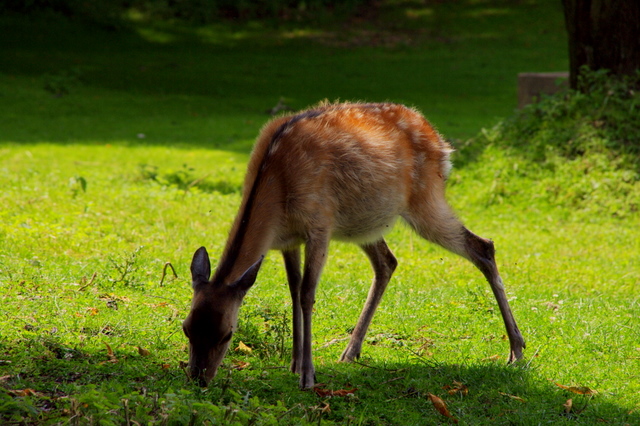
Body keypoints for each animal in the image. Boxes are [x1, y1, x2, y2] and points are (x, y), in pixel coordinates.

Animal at [181, 100, 524, 390]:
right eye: (187, 327)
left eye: (227, 333)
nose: (198, 378)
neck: (277, 186)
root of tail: (441, 142)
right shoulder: (287, 240)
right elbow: (292, 290)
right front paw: (294, 363)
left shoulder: (319, 225)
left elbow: (307, 294)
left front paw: (308, 376)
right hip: (365, 224)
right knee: (387, 261)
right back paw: (350, 351)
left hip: (425, 199)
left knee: (483, 246)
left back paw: (516, 350)